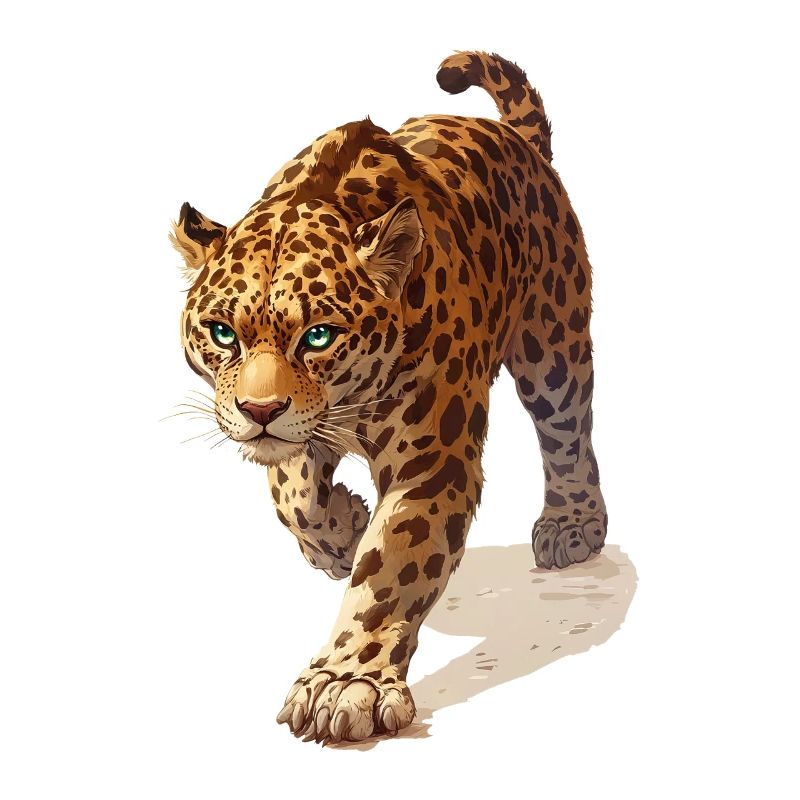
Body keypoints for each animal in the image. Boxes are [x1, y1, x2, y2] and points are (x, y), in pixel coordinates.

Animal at [171, 51, 607, 744]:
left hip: (552, 339)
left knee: (568, 429)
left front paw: (346, 684)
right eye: (221, 333)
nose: (259, 413)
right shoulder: (299, 437)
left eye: (318, 335)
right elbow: (293, 497)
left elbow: (392, 567)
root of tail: (515, 137)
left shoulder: (433, 459)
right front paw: (342, 529)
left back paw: (572, 525)